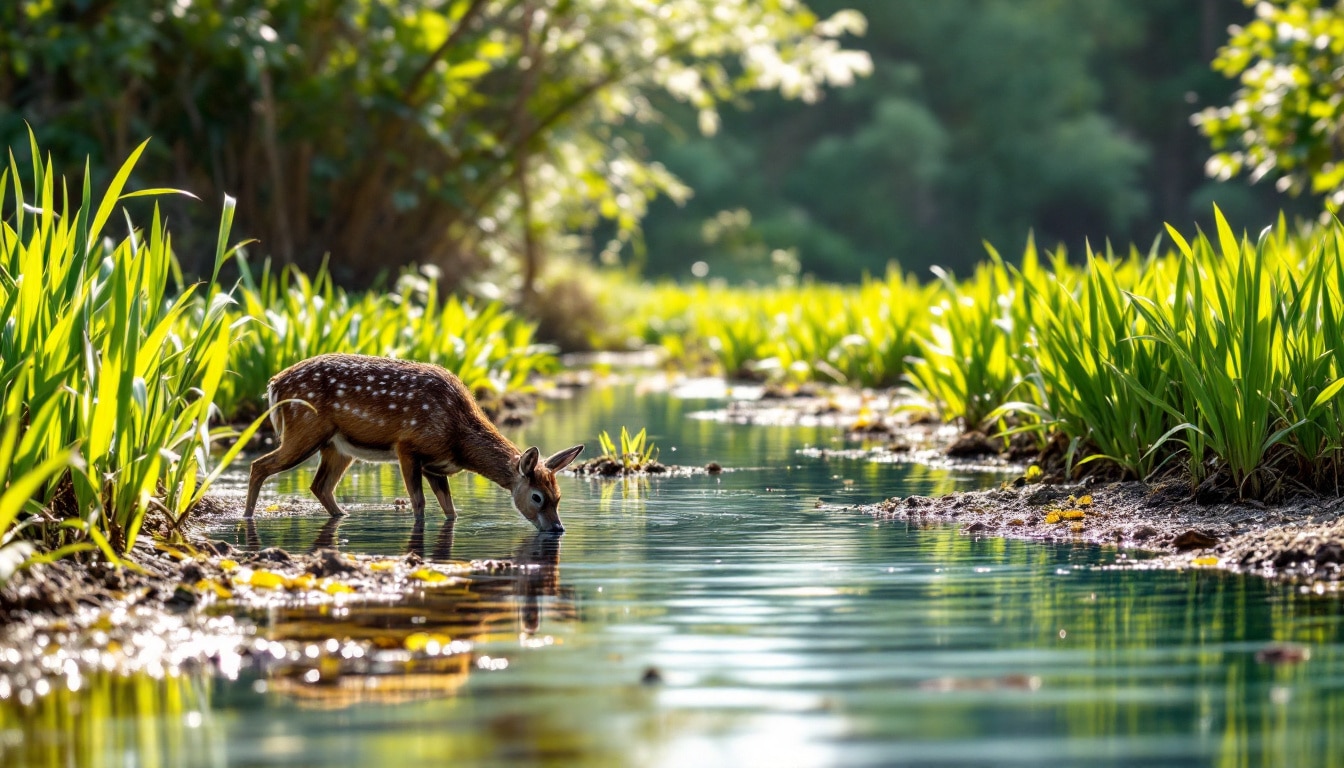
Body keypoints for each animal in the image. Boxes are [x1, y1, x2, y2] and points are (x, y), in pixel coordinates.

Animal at [247, 355, 583, 535]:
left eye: (559, 496)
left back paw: (344, 516)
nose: (558, 528)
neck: (458, 437)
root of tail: (273, 384)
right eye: (538, 497)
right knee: (259, 465)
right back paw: (248, 516)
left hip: (338, 447)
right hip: (303, 429)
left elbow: (450, 510)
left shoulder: (437, 466)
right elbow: (418, 503)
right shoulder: (407, 446)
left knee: (320, 485)